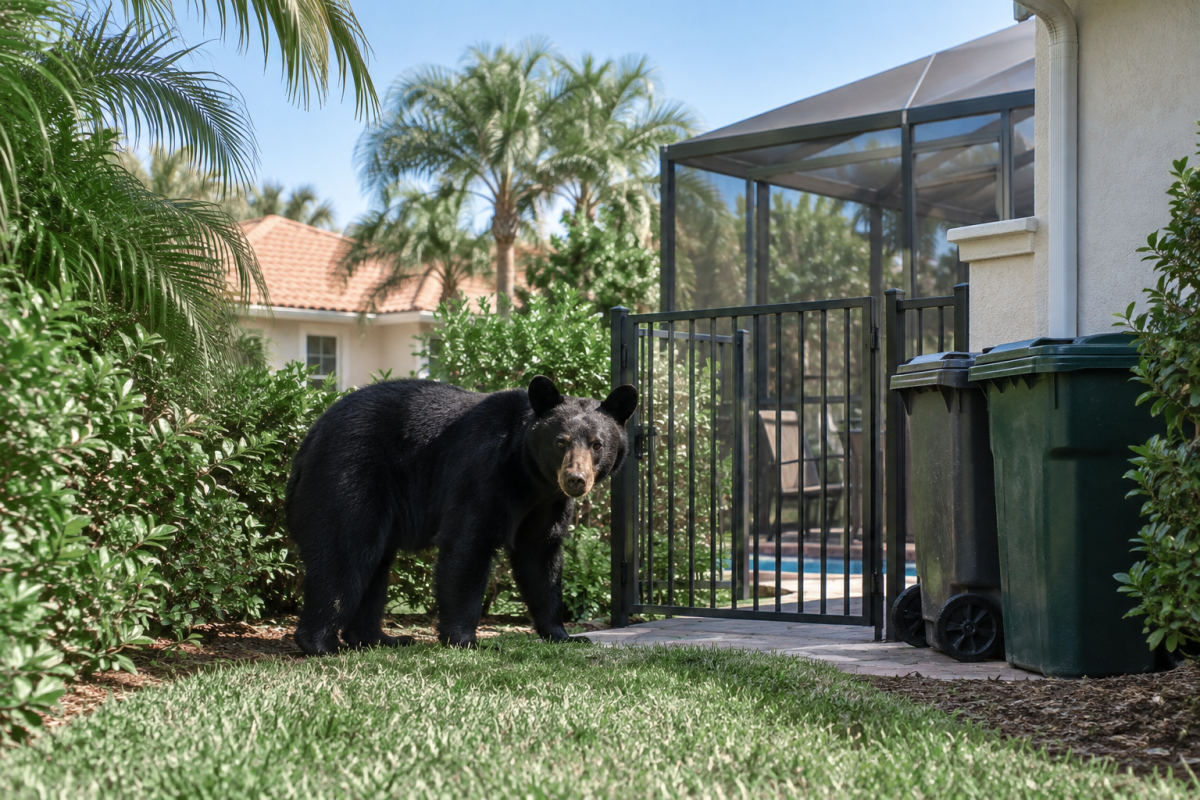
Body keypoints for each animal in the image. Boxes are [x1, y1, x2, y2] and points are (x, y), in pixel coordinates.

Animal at [285, 375, 638, 654]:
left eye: (597, 444)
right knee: (345, 551)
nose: (575, 479)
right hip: (349, 475)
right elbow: (468, 546)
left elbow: (540, 558)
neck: (529, 477)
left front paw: (563, 634)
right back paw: (321, 643)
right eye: (560, 441)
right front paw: (465, 639)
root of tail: (309, 438)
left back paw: (380, 638)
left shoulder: (546, 504)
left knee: (375, 565)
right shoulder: (483, 473)